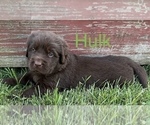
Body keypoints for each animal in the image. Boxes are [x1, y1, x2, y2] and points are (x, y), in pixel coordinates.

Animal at [2, 30, 148, 97]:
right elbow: (21, 77)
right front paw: (6, 81)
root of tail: (128, 60)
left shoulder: (48, 87)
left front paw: (13, 95)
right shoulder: (32, 73)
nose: (37, 63)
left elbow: (31, 90)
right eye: (33, 49)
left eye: (51, 54)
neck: (57, 68)